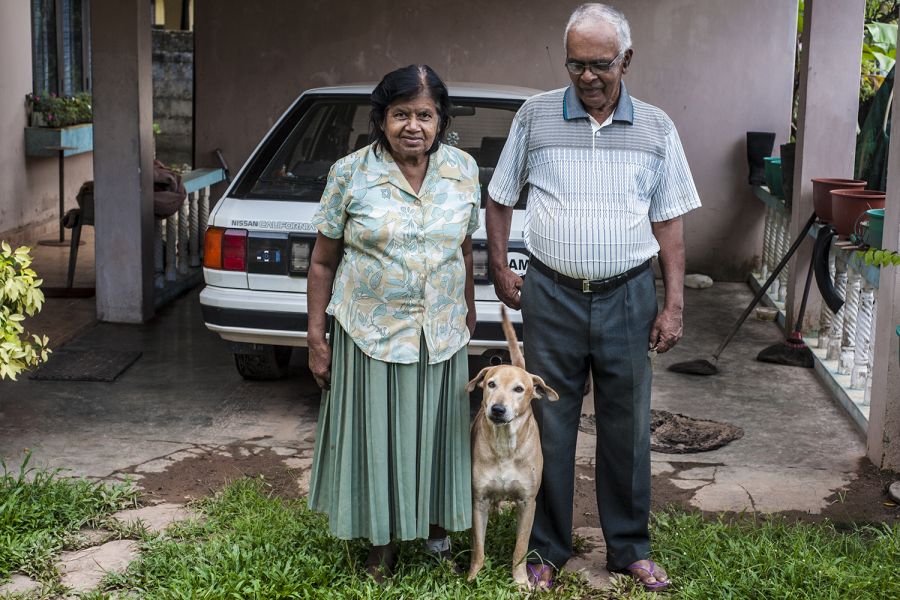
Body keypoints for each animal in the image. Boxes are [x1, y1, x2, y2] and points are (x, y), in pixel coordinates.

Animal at [468, 308, 560, 588]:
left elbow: (521, 547)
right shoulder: (478, 500)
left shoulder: (527, 502)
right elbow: (478, 546)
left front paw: (520, 581)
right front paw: (474, 576)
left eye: (519, 389)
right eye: (491, 384)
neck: (505, 445)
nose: (497, 409)